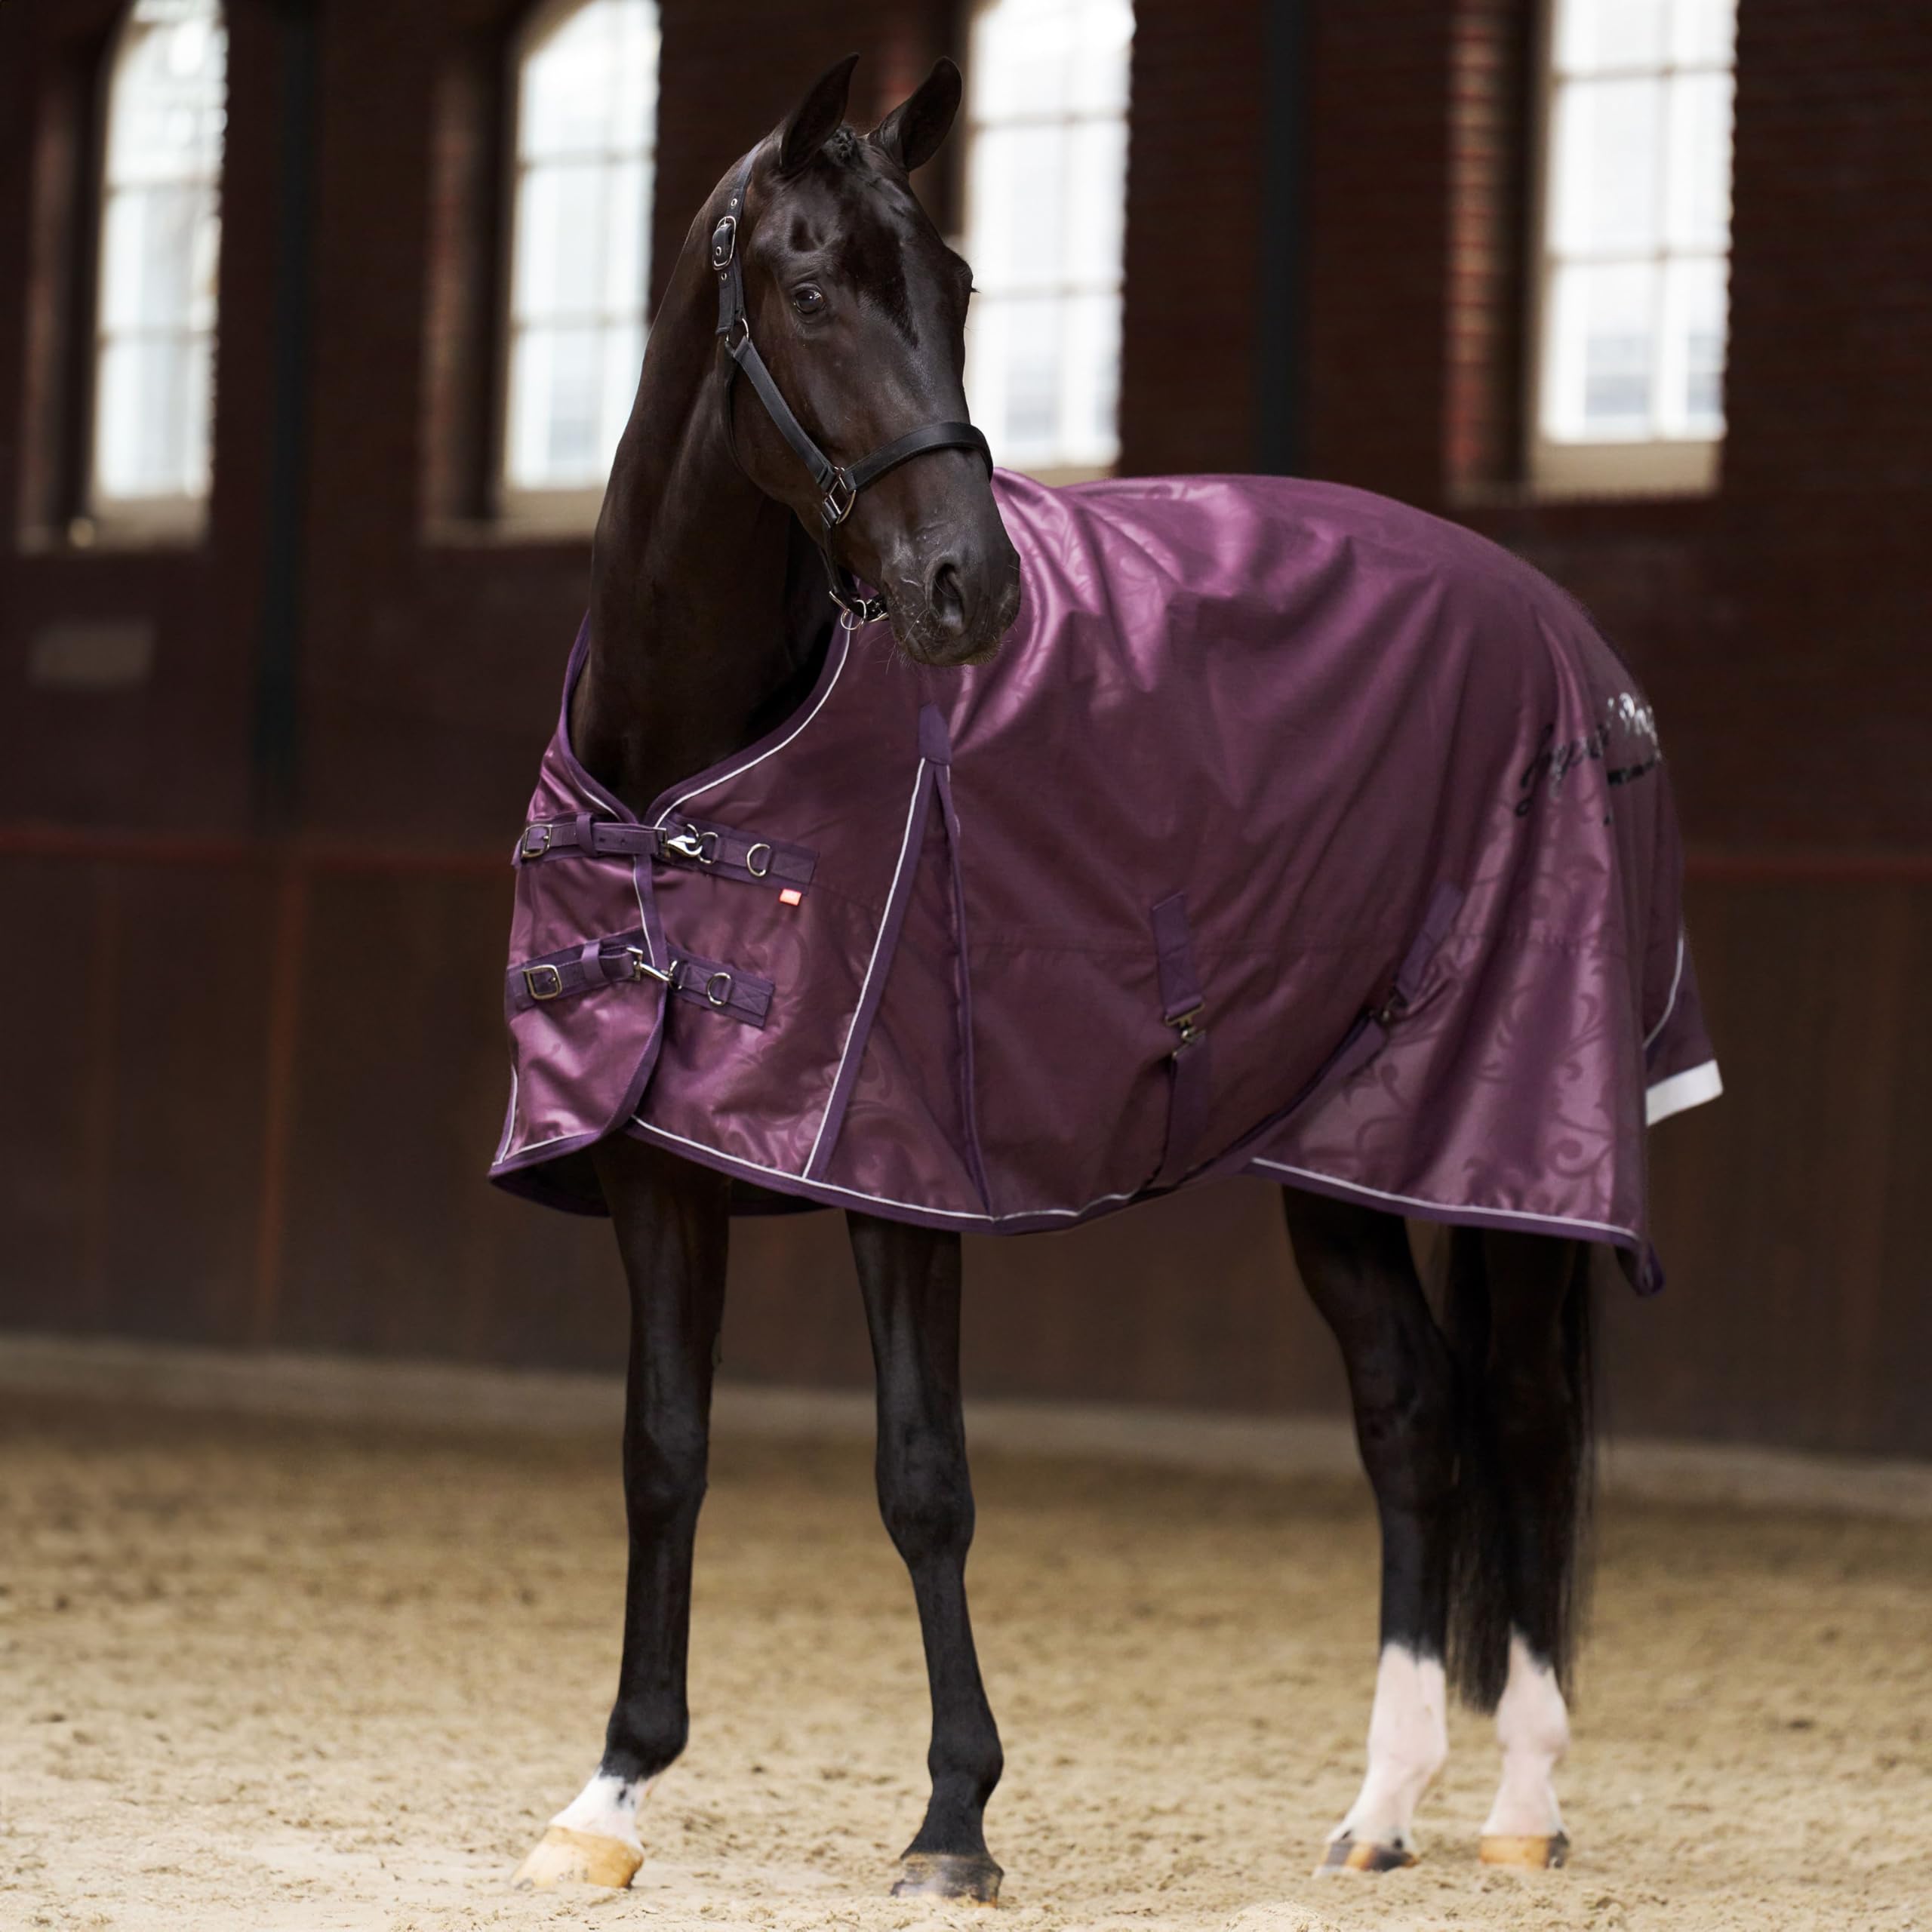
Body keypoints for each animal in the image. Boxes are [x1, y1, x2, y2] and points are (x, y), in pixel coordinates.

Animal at [500, 53, 1717, 1897]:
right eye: (809, 289)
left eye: (958, 286)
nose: (968, 589)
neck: (693, 772)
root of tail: (1566, 638)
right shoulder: (657, 1164)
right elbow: (662, 1455)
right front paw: (611, 1792)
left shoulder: (901, 1173)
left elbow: (922, 1477)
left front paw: (952, 1818)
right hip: (1346, 1156)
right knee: (1410, 1414)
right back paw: (1381, 1809)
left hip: (1501, 1139)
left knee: (1509, 1406)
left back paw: (1515, 1804)